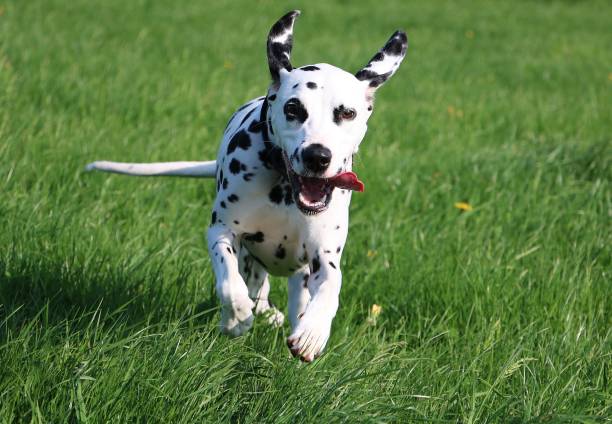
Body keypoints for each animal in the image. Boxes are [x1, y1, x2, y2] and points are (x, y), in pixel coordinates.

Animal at [86, 9, 408, 362]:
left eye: (347, 113)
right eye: (293, 109)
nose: (318, 156)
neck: (283, 190)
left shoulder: (324, 254)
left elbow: (330, 285)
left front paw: (313, 332)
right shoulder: (223, 231)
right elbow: (229, 281)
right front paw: (236, 317)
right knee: (255, 287)